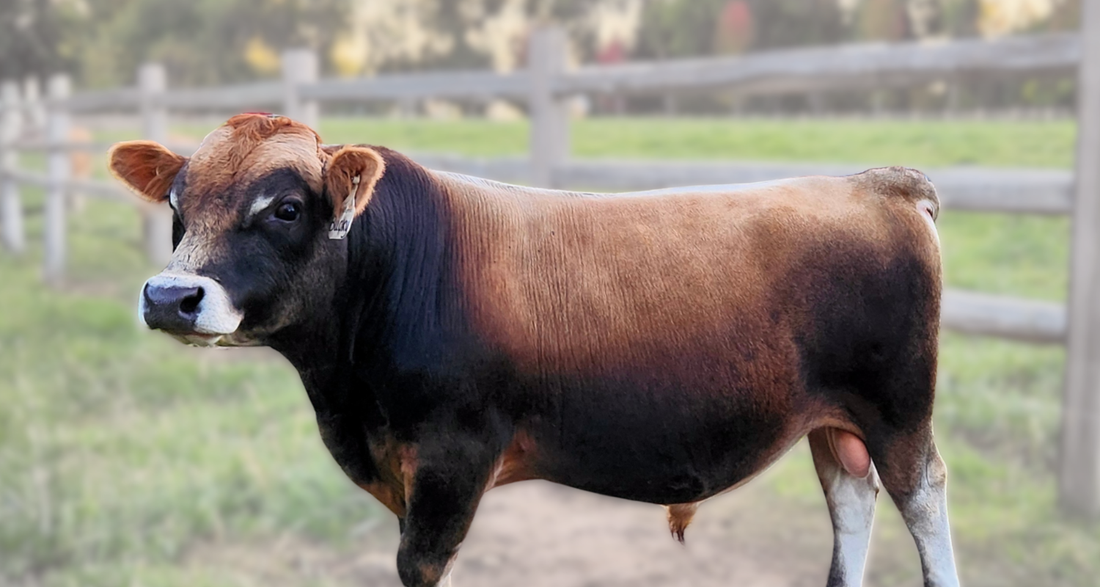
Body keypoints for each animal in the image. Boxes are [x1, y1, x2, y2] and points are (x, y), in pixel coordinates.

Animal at [108, 113, 959, 587]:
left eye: (285, 208)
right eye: (177, 204)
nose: (169, 295)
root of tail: (872, 181)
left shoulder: (451, 457)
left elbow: (421, 564)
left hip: (899, 410)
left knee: (922, 497)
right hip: (833, 421)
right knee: (851, 499)